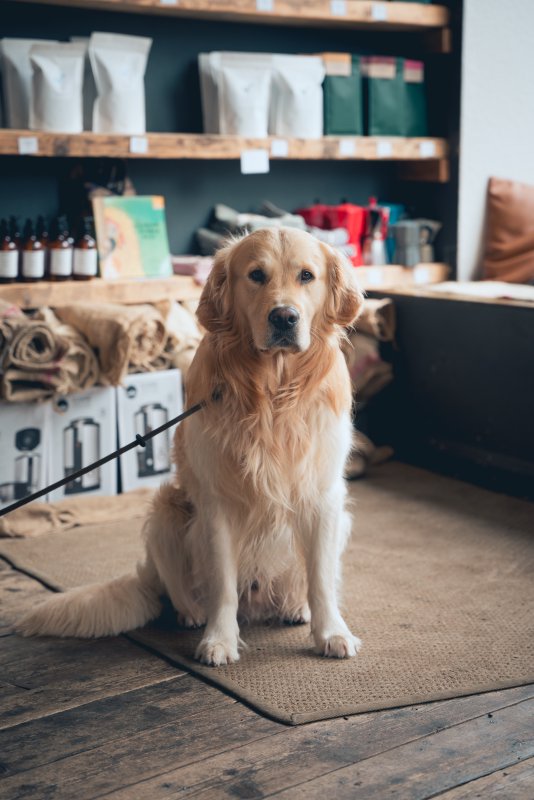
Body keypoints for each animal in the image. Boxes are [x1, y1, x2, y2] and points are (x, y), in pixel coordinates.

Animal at [18, 228, 366, 664]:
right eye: (256, 275)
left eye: (306, 275)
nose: (284, 317)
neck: (272, 392)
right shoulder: (217, 503)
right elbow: (222, 584)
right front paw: (219, 640)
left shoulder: (324, 496)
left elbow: (320, 579)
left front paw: (331, 632)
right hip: (166, 509)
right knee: (182, 588)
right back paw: (193, 615)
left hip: (341, 520)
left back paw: (295, 606)